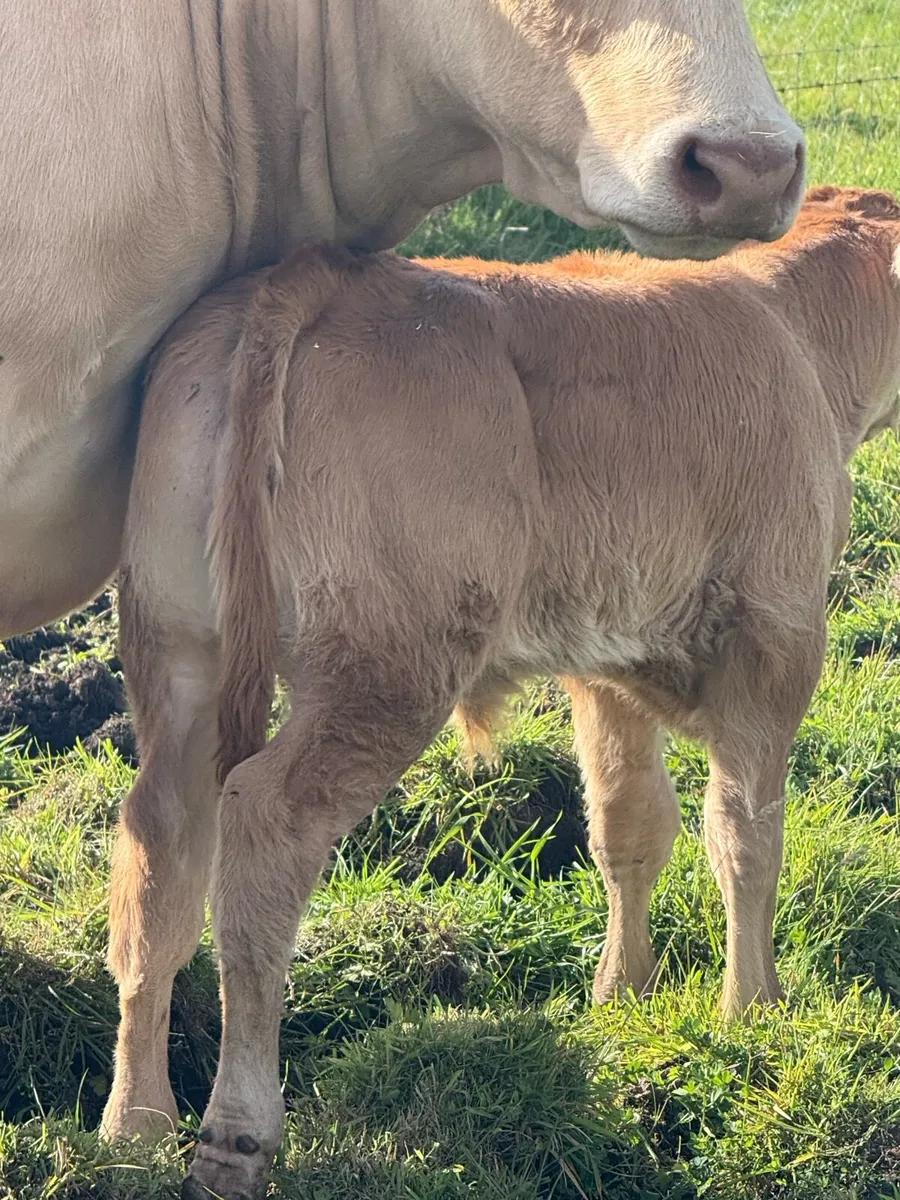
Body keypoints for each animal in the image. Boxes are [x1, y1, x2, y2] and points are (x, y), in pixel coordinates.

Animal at [109, 186, 900, 1198]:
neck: (795, 329)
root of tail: (322, 281)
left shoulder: (608, 660)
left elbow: (628, 827)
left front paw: (623, 994)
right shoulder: (778, 643)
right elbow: (745, 836)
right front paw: (752, 1010)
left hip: (180, 652)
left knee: (161, 846)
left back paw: (133, 1122)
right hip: (384, 672)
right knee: (263, 829)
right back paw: (236, 1130)